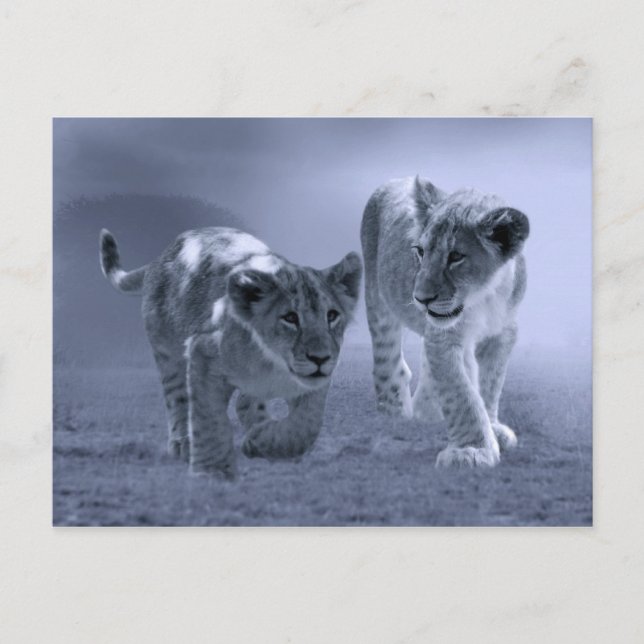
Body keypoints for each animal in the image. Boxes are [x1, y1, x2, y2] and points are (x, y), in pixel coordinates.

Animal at [100, 226, 362, 478]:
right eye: (290, 318)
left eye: (332, 316)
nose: (320, 358)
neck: (273, 363)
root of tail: (160, 258)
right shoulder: (203, 350)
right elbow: (208, 419)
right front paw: (211, 470)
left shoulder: (315, 382)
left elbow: (306, 425)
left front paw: (264, 443)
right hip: (167, 352)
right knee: (177, 397)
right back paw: (182, 443)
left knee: (246, 402)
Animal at [360, 177, 529, 467]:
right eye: (420, 251)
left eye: (456, 256)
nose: (420, 298)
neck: (483, 296)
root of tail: (395, 179)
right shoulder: (446, 338)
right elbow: (460, 393)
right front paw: (472, 450)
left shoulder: (503, 333)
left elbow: (491, 383)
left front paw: (492, 428)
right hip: (378, 300)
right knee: (387, 360)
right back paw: (395, 415)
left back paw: (426, 412)